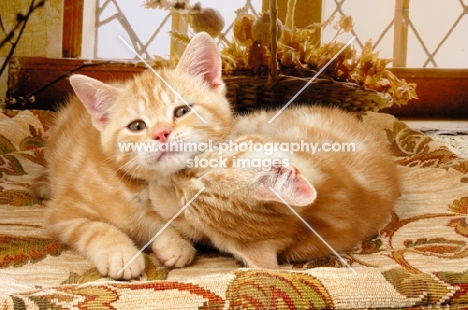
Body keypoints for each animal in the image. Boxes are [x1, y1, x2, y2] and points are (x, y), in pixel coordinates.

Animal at [33, 32, 231, 280]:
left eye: (182, 111)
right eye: (137, 126)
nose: (161, 133)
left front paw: (175, 243)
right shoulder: (62, 212)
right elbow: (96, 228)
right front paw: (120, 253)